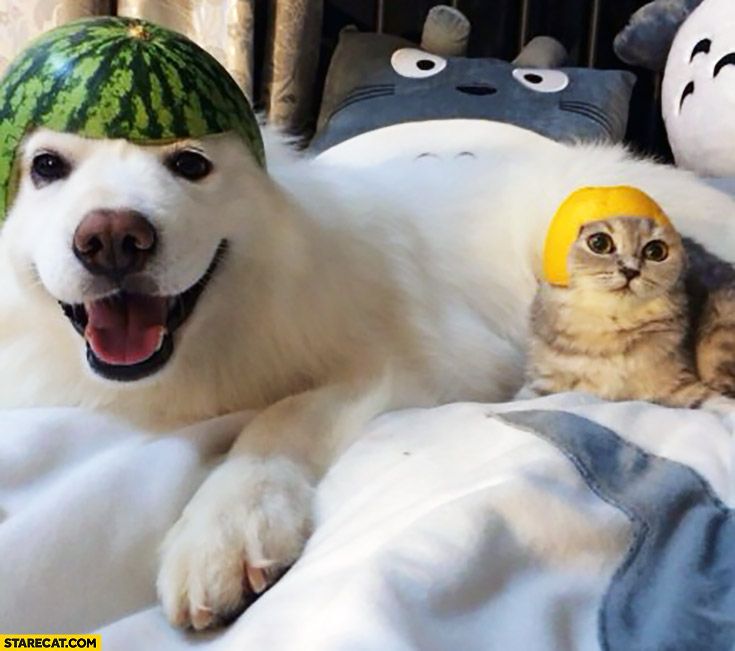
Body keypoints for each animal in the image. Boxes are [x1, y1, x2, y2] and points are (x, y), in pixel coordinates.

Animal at [1, 123, 735, 632]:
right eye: (46, 167)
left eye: (189, 164)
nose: (113, 238)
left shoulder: (428, 360)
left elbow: (282, 414)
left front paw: (225, 528)